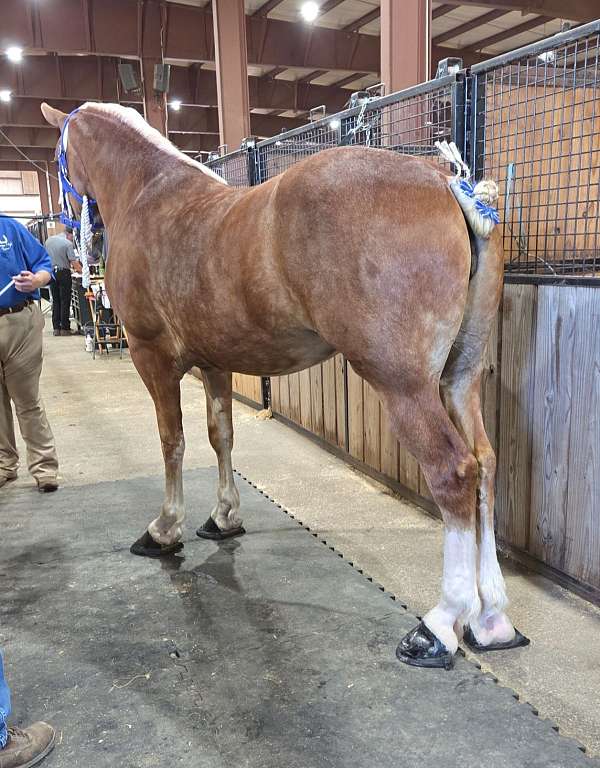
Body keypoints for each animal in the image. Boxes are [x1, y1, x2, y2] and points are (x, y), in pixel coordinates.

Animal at [41, 101, 528, 669]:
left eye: (61, 158)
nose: (83, 239)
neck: (150, 195)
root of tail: (444, 181)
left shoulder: (152, 358)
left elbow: (172, 442)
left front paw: (164, 529)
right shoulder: (216, 364)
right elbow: (221, 437)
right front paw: (223, 517)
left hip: (404, 385)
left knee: (454, 472)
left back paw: (439, 625)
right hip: (459, 379)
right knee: (485, 465)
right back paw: (490, 619)